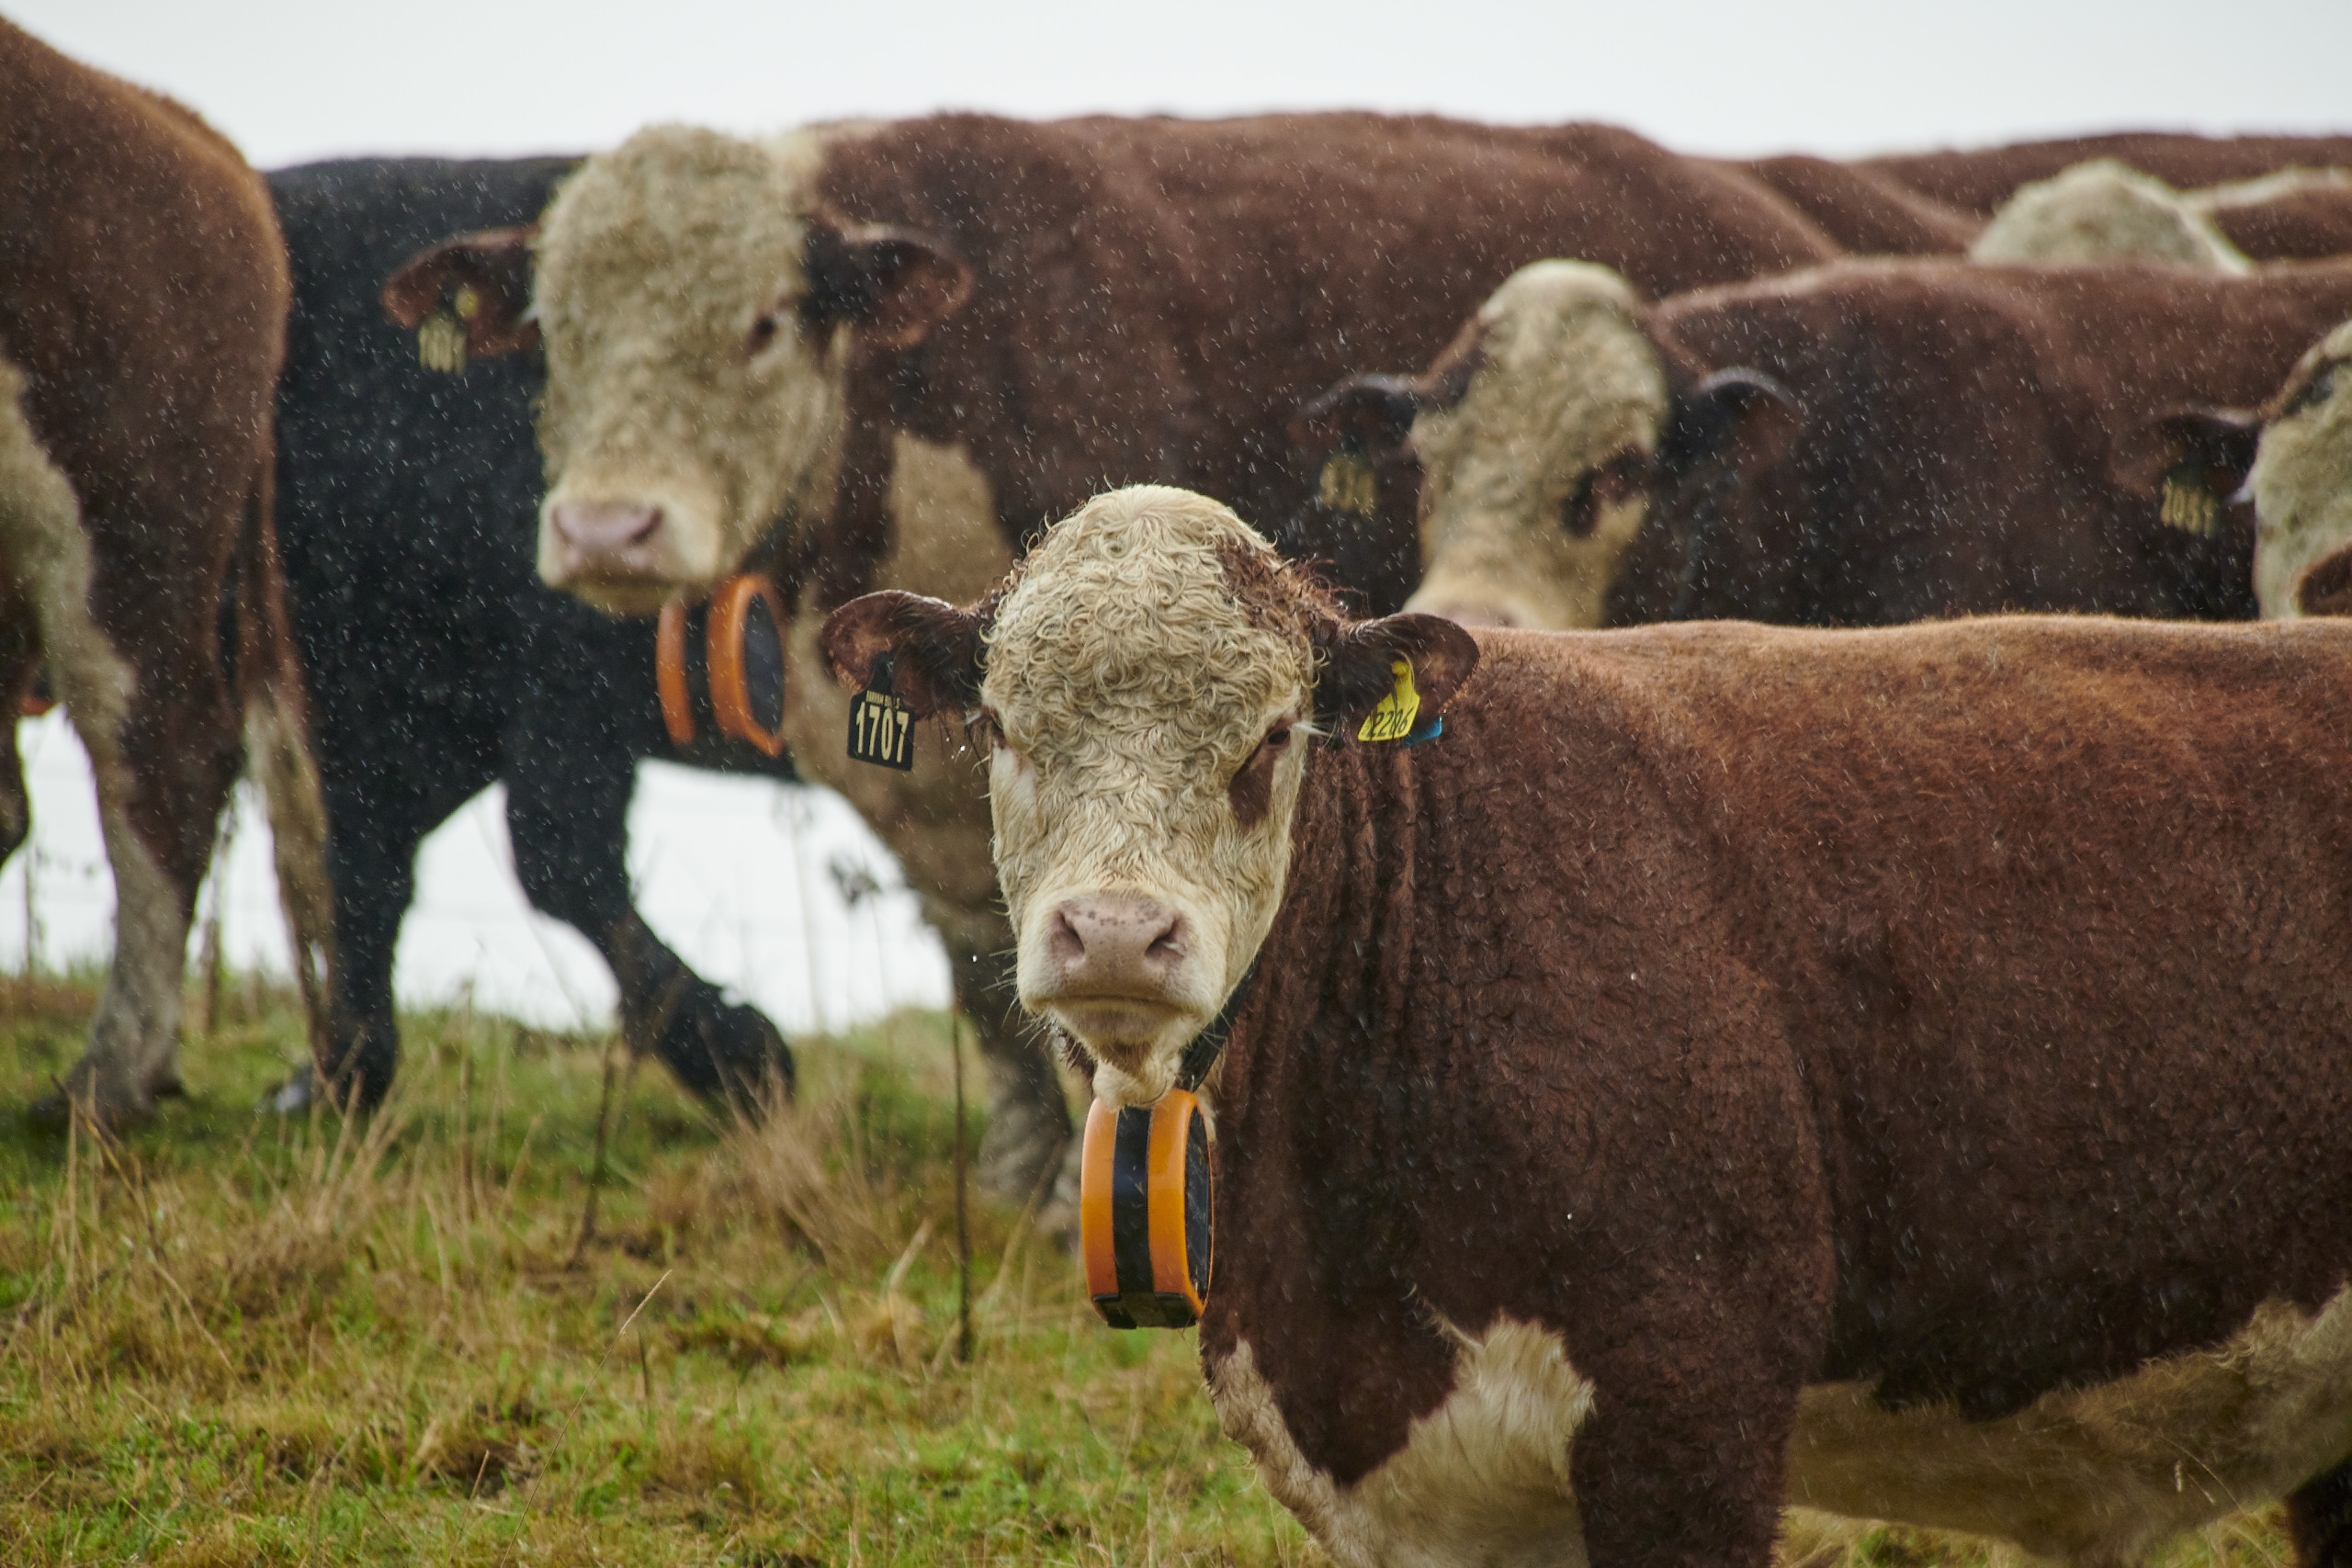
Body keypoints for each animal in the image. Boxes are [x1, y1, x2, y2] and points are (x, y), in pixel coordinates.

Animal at [265, 156, 795, 1114]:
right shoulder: (409, 698)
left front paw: (743, 1055)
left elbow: (560, 860)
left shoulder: (556, 683)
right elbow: (365, 864)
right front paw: (339, 1078)